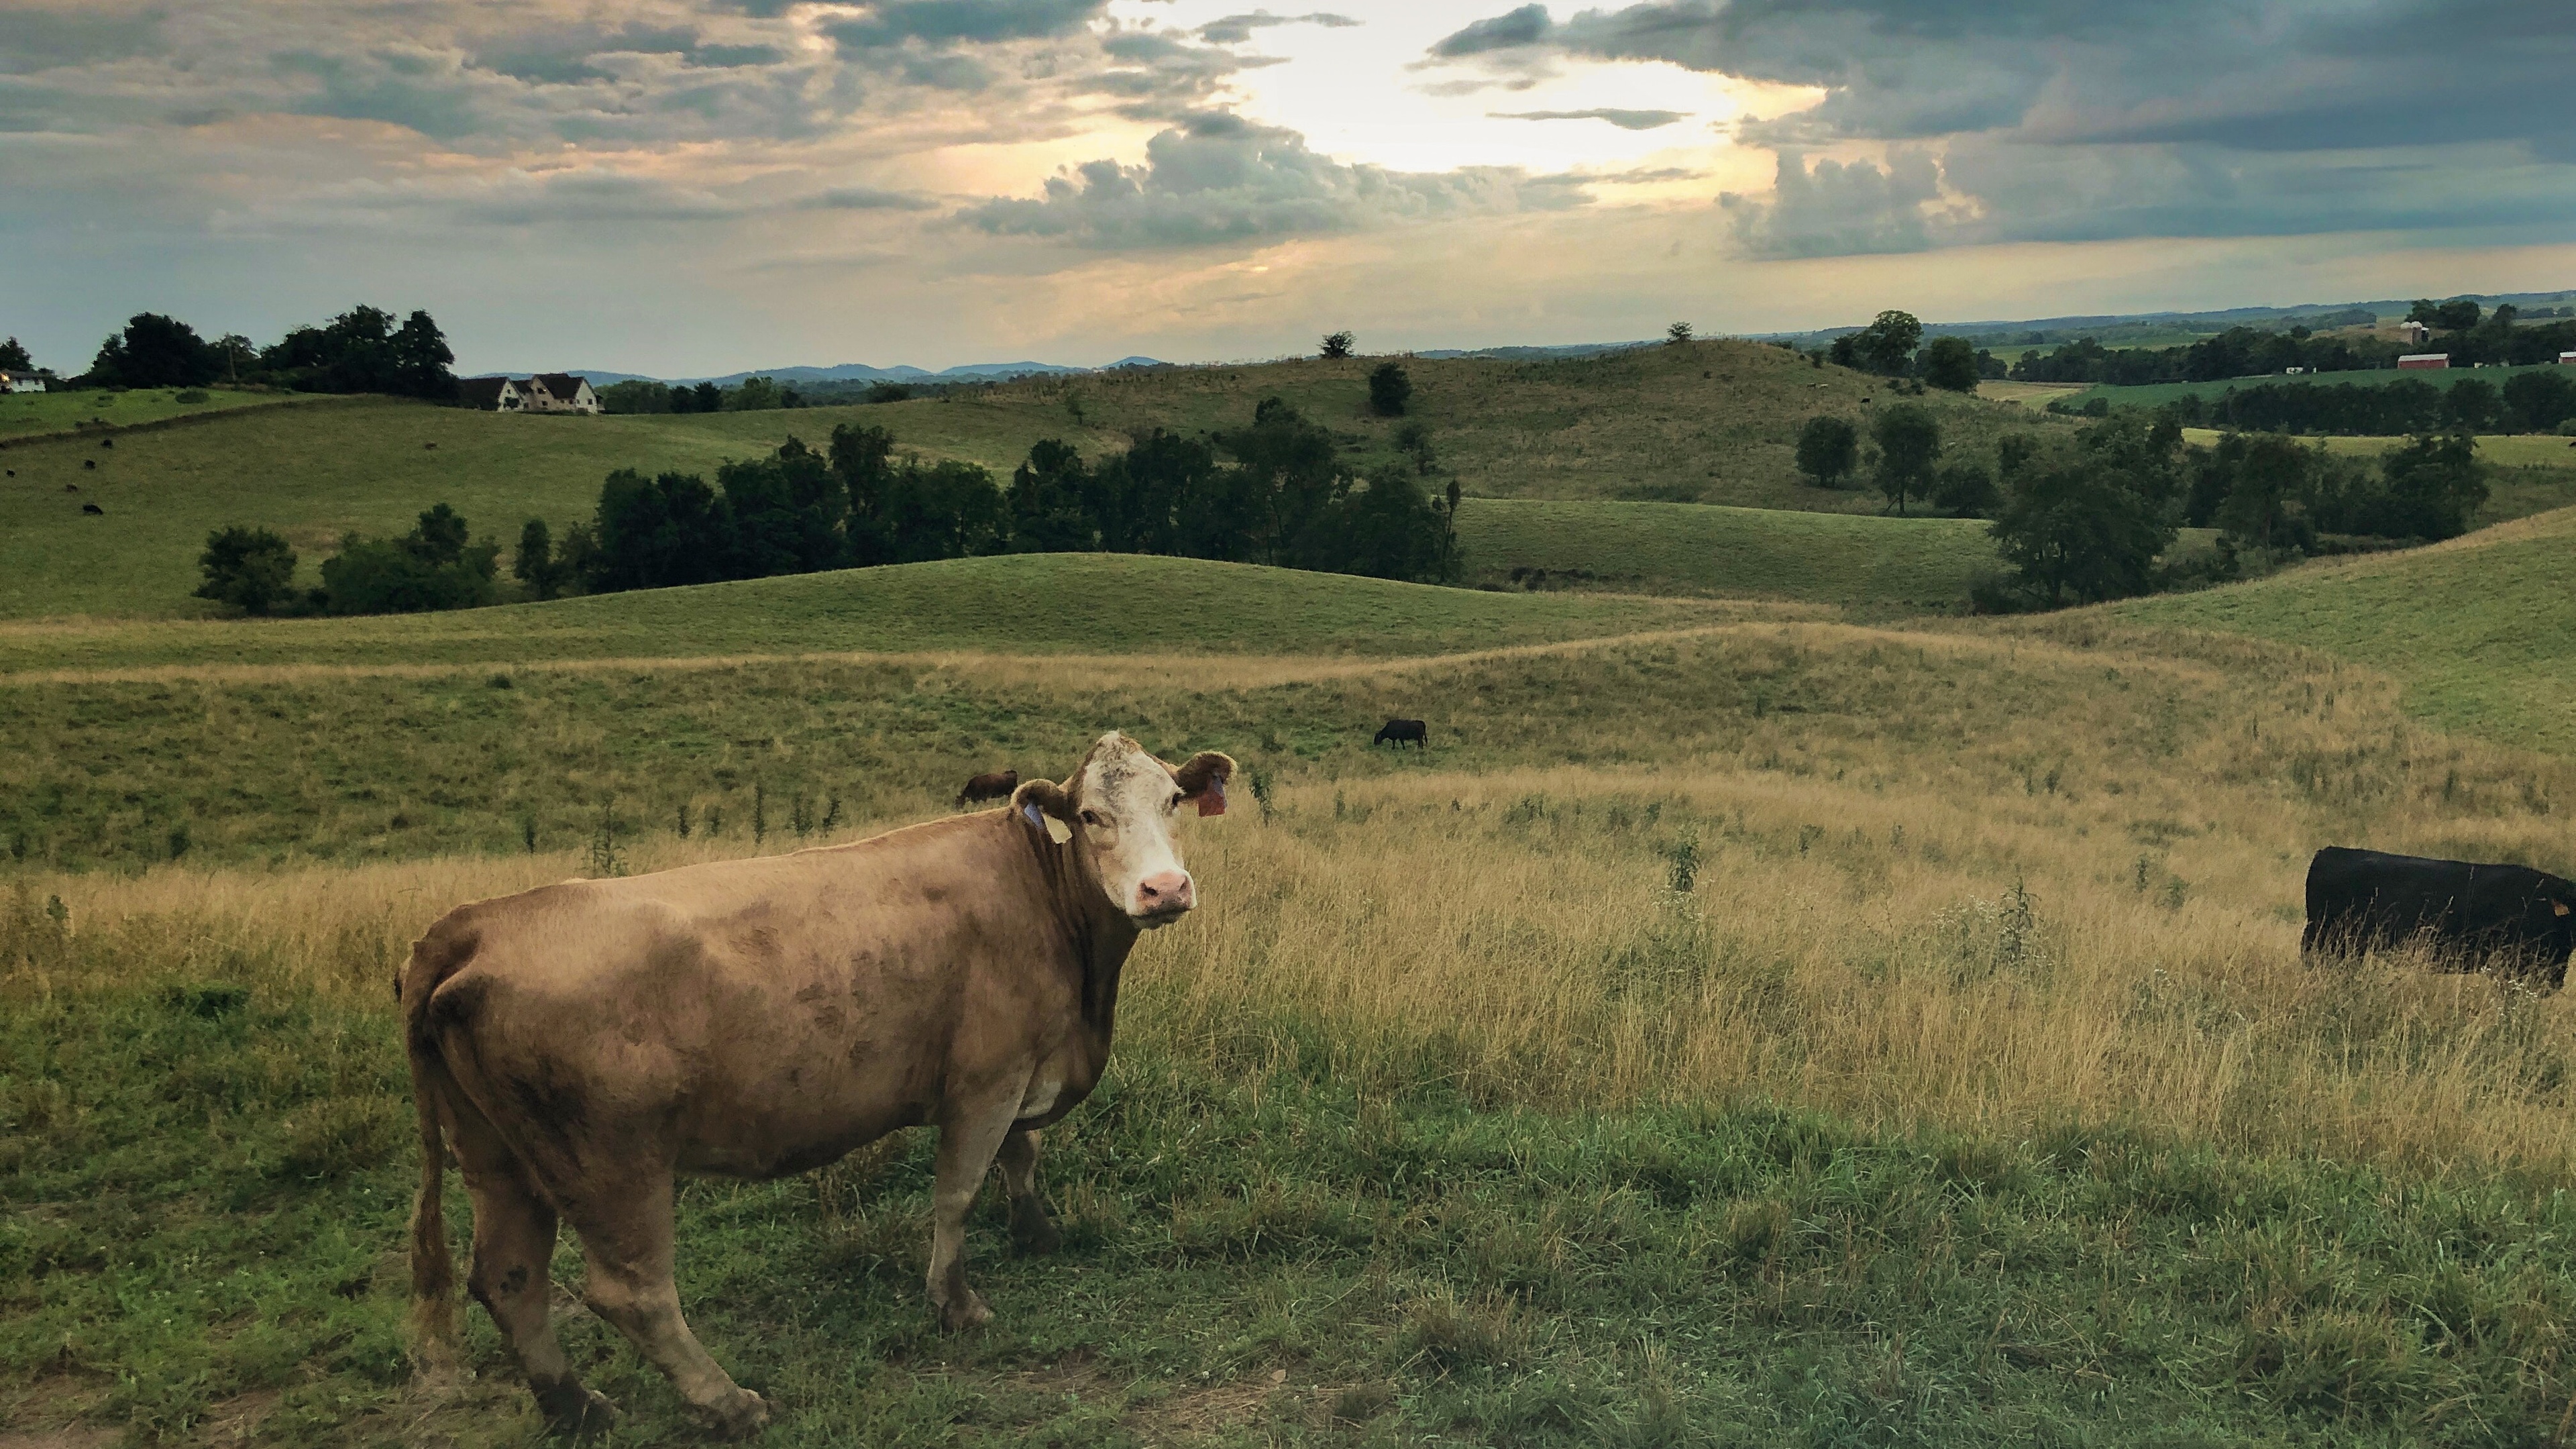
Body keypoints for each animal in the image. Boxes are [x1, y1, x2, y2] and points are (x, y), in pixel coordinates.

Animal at [407, 732, 1231, 1433]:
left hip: (498, 1157)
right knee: (631, 1293)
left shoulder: (1028, 1066)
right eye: (1090, 815)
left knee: (510, 1280)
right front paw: (956, 1305)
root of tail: (475, 924)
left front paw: (1037, 1233)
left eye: (1173, 800)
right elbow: (958, 1193)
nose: (1165, 888)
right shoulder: (985, 1080)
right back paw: (728, 1404)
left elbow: (1021, 1158)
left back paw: (577, 1407)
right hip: (611, 1165)